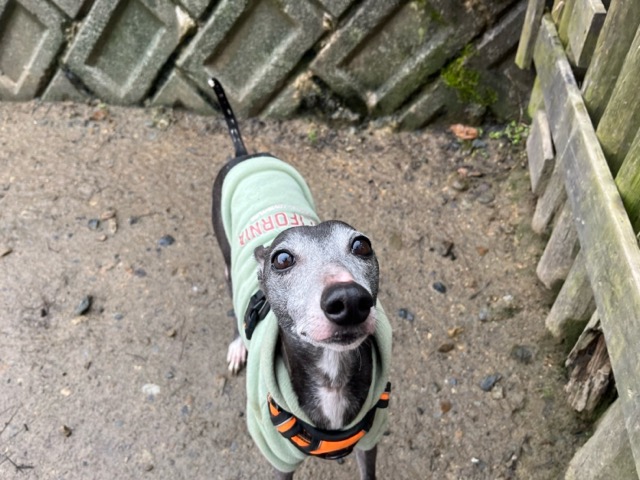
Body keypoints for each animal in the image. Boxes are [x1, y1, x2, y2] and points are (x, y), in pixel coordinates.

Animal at [208, 78, 392, 480]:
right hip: (225, 256)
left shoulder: (370, 442)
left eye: (362, 244)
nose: (348, 300)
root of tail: (244, 155)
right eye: (282, 258)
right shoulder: (278, 457)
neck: (332, 378)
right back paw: (238, 345)